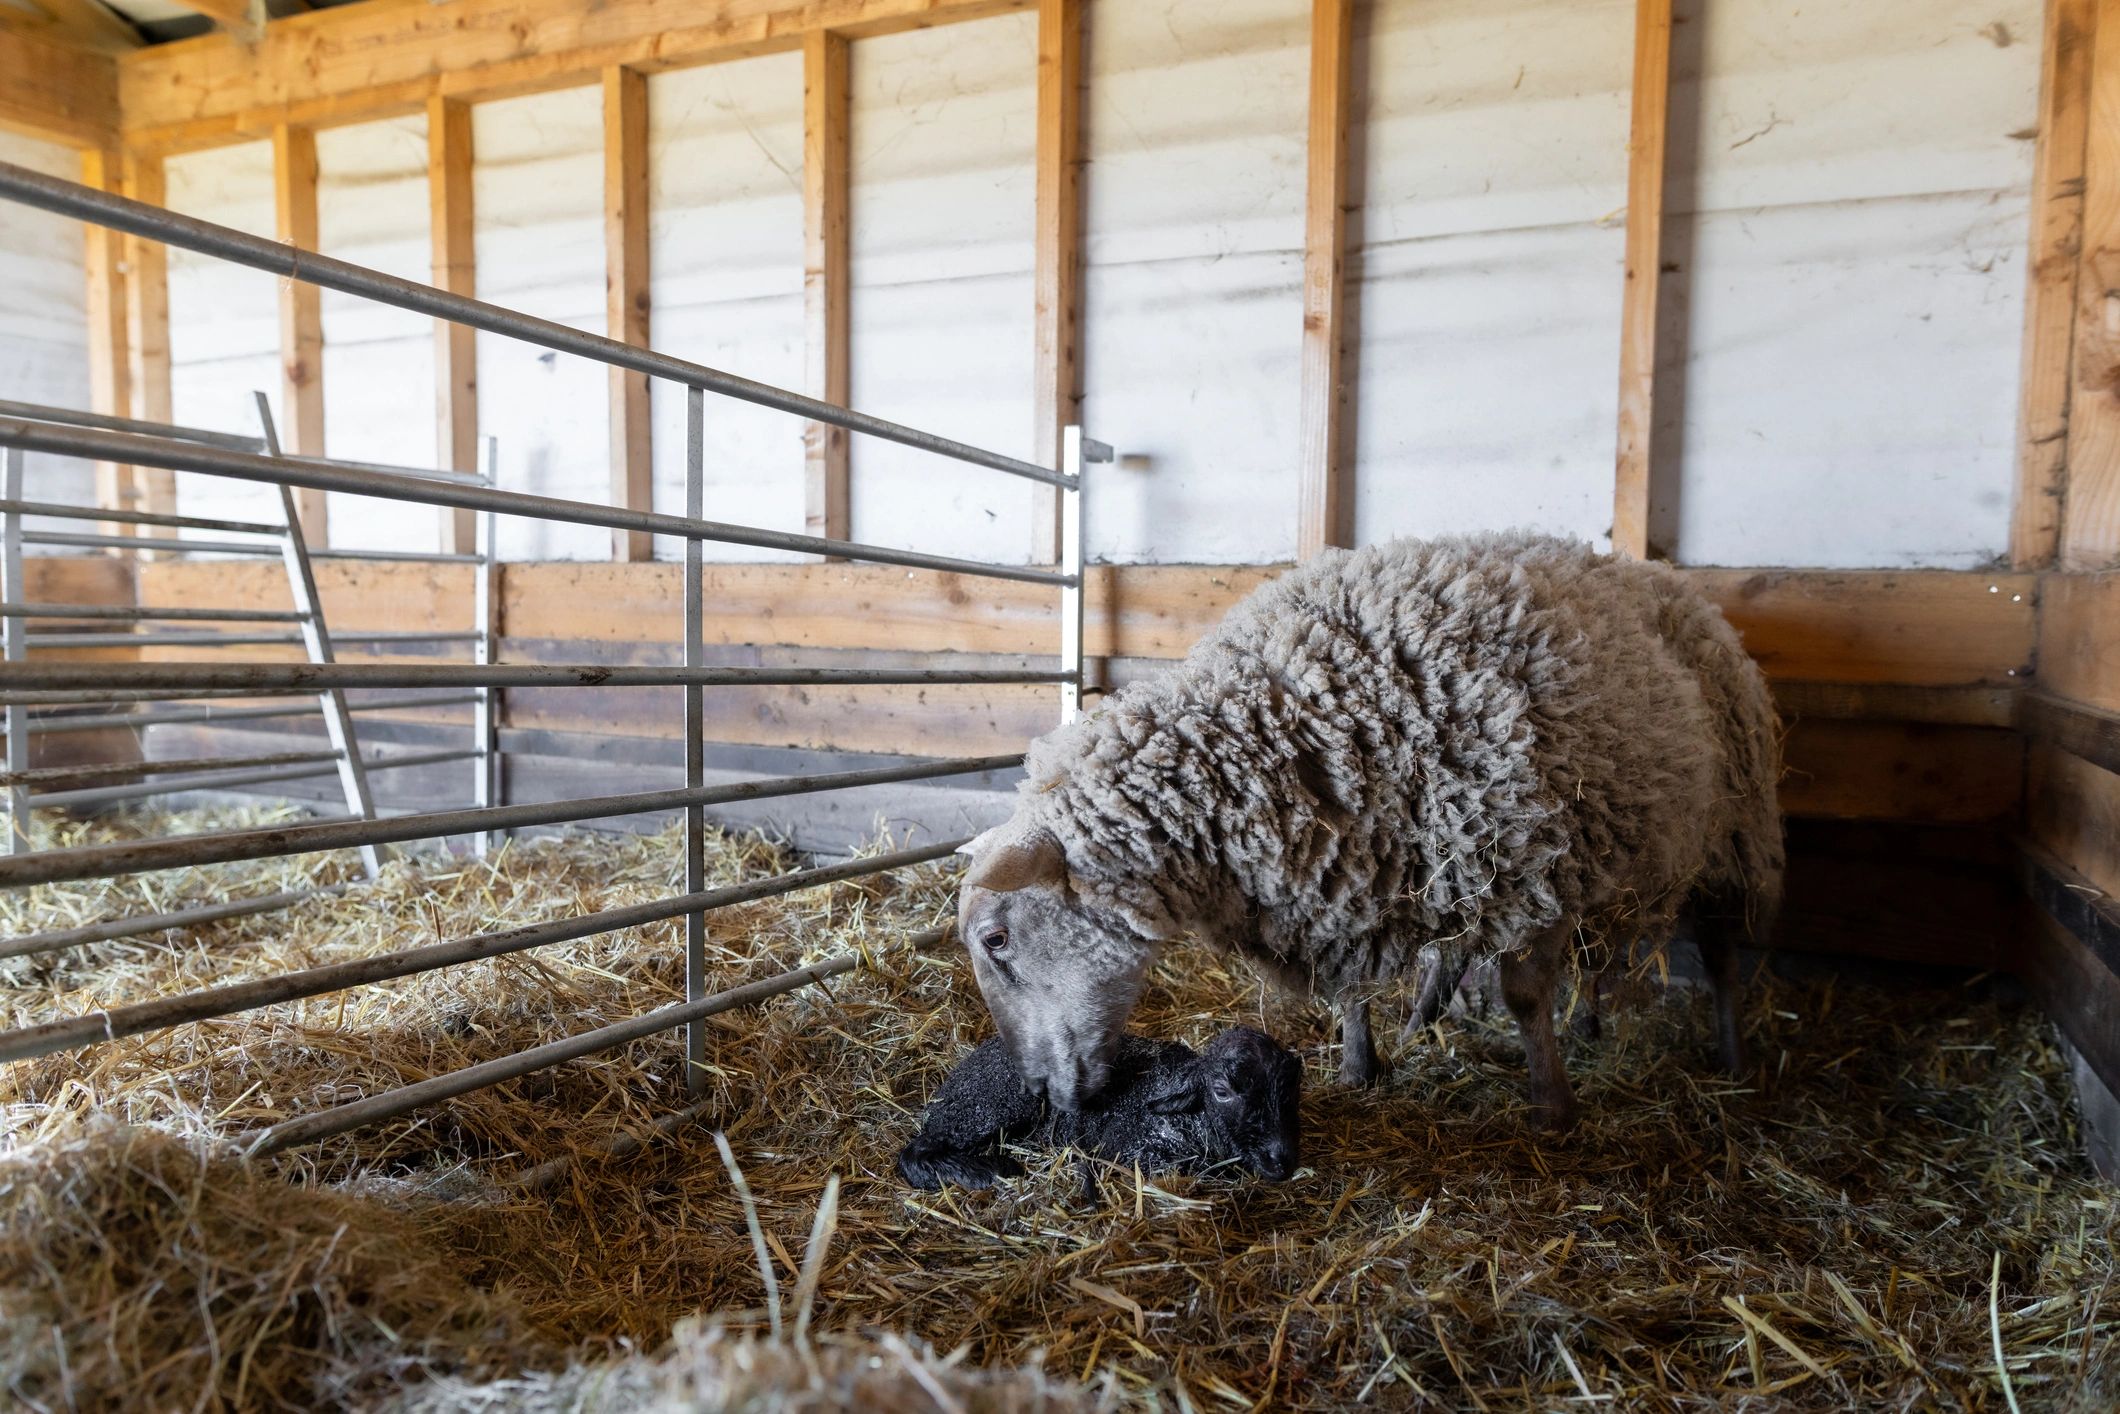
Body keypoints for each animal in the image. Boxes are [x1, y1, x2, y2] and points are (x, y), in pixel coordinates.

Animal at [895, 1026, 1302, 1191]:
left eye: (1290, 1092)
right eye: (1221, 1091)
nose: (1281, 1161)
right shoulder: (1135, 1151)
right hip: (992, 1104)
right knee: (916, 1153)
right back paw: (989, 1171)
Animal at [955, 531, 1783, 1128]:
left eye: (996, 939)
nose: (1038, 1094)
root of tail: (1670, 580)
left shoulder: (1532, 864)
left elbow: (1522, 994)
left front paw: (1552, 1108)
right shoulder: (1348, 872)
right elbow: (1352, 989)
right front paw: (1361, 1066)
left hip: (1729, 836)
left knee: (1718, 953)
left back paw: (1734, 1058)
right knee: (1579, 954)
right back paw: (1533, 1022)